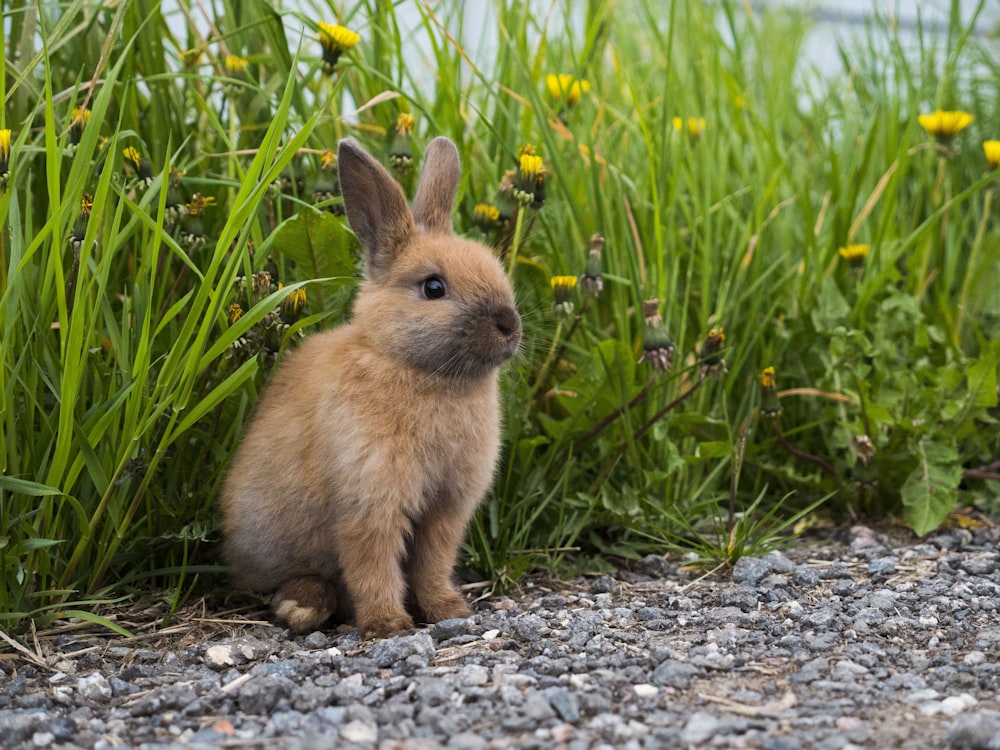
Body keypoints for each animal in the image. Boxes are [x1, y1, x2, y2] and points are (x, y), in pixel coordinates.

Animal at [221, 137, 524, 640]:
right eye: (434, 287)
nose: (509, 325)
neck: (414, 368)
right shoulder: (369, 502)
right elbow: (373, 565)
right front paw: (387, 625)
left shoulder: (446, 510)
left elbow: (431, 563)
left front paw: (448, 610)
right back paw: (301, 606)